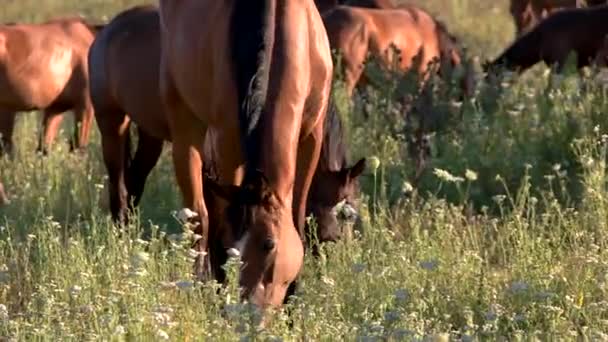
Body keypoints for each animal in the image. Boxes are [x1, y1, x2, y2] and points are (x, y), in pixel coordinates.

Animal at [88, 5, 364, 246]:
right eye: (340, 205)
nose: (335, 243)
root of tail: (108, 30)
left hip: (150, 134)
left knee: (135, 180)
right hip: (111, 122)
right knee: (118, 186)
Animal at [158, 0, 332, 308]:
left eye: (269, 243)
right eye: (233, 248)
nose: (248, 311)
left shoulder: (313, 136)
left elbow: (298, 217)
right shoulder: (227, 139)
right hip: (186, 125)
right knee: (200, 216)